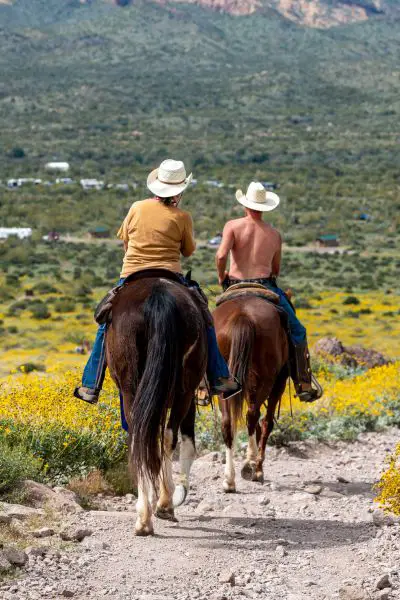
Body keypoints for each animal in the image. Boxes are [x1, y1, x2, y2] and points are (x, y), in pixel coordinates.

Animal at [105, 276, 206, 536]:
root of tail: (158, 294)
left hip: (136, 390)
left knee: (142, 437)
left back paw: (147, 516)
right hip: (181, 393)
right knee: (163, 437)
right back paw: (158, 508)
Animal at [214, 296, 290, 492]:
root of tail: (242, 316)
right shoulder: (279, 383)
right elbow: (267, 424)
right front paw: (258, 469)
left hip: (224, 383)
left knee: (228, 423)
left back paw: (229, 480)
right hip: (266, 379)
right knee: (253, 416)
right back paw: (250, 465)